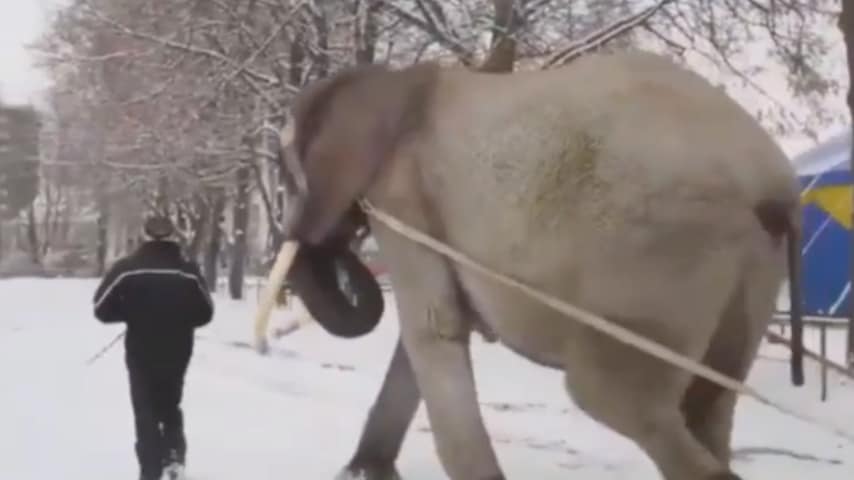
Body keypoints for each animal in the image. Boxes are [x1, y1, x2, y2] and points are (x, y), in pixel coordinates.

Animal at [278, 49, 804, 480]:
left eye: (291, 176)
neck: (393, 79)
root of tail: (774, 185)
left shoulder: (402, 194)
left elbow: (432, 328)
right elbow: (426, 333)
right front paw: (364, 473)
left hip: (656, 260)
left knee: (613, 395)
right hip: (748, 271)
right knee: (708, 404)